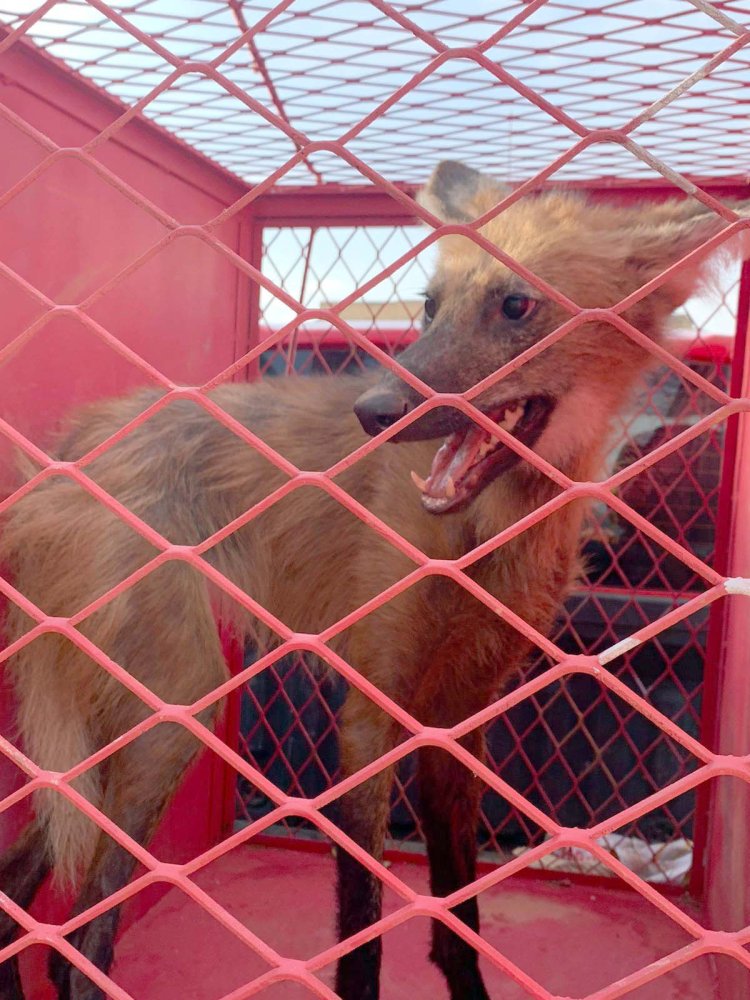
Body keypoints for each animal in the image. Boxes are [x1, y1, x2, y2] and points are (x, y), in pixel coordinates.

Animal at [0, 160, 748, 996]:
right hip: (177, 711)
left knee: (25, 907)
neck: (476, 542)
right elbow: (362, 935)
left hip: (124, 738)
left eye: (515, 304)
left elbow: (457, 921)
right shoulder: (370, 714)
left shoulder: (455, 722)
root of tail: (67, 451)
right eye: (429, 306)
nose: (375, 410)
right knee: (78, 938)